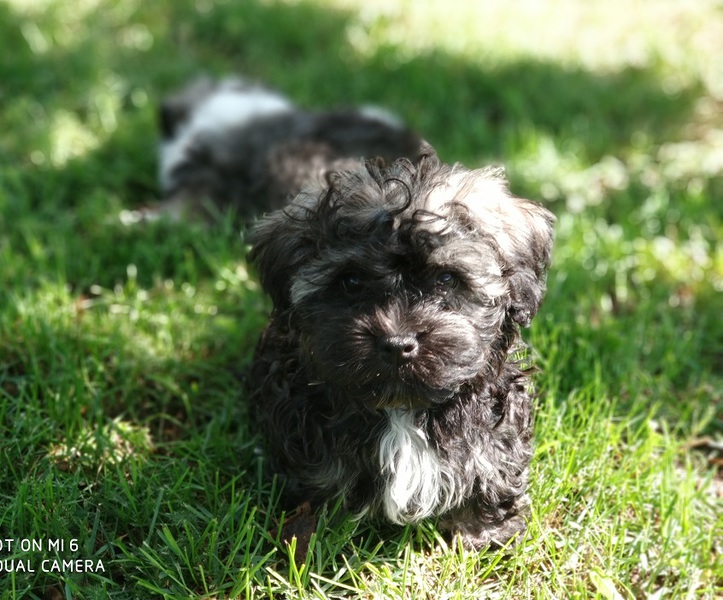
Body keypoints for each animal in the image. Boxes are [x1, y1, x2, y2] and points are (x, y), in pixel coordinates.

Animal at [248, 146, 555, 550]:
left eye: (447, 279)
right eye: (350, 281)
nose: (397, 344)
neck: (402, 410)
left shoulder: (494, 429)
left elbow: (492, 468)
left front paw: (482, 534)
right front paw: (314, 528)